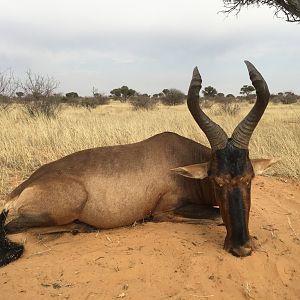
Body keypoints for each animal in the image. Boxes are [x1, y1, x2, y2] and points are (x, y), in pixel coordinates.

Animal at [0, 61, 276, 268]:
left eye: (249, 178)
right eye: (216, 181)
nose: (241, 248)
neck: (179, 156)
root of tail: (21, 188)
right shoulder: (164, 210)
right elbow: (215, 216)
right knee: (13, 227)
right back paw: (81, 227)